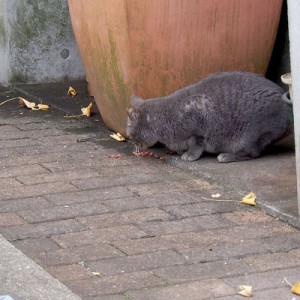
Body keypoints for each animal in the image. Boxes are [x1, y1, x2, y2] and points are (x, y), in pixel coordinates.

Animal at [125, 71, 292, 163]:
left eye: (130, 134)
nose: (131, 143)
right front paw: (180, 150)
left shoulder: (199, 126)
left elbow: (196, 144)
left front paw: (189, 154)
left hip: (248, 136)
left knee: (253, 153)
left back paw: (226, 156)